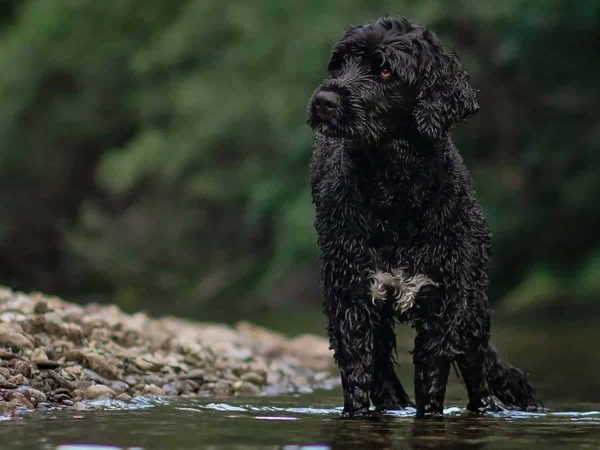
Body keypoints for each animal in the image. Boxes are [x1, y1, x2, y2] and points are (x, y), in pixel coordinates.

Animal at [308, 16, 536, 418]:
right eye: (338, 64)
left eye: (385, 69)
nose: (324, 100)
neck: (396, 192)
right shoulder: (351, 297)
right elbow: (358, 377)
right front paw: (359, 415)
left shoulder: (442, 305)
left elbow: (432, 380)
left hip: (472, 306)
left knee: (476, 368)